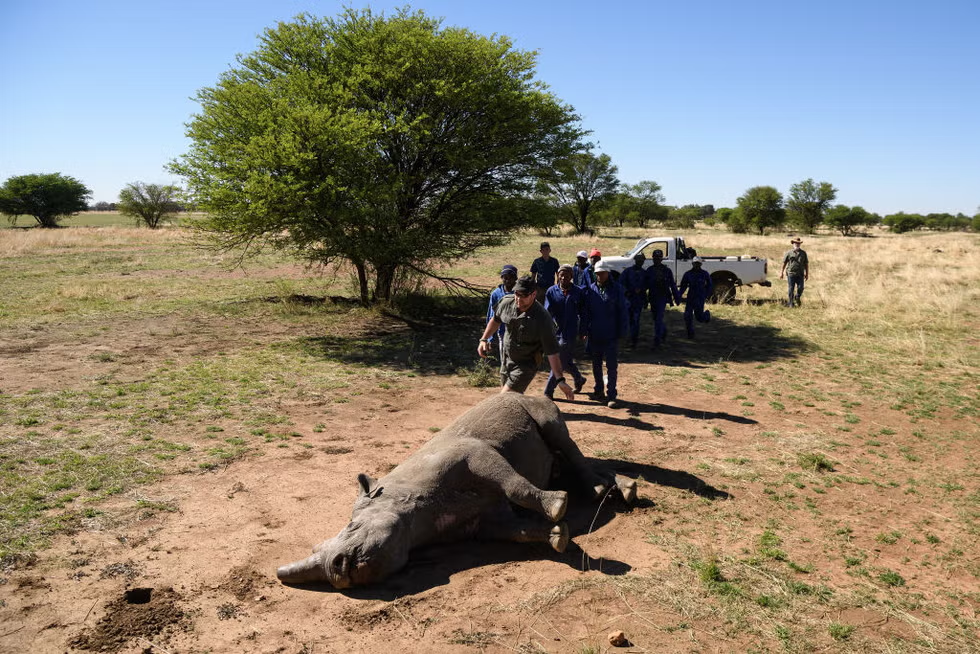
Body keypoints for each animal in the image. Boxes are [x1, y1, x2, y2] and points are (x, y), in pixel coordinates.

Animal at [276, 393, 636, 588]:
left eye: (351, 527)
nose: (337, 570)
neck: (409, 504)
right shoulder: (484, 523)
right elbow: (517, 530)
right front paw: (558, 535)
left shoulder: (472, 452)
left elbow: (514, 484)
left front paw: (558, 507)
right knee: (563, 459)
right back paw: (619, 490)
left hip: (534, 405)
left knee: (558, 435)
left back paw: (595, 492)